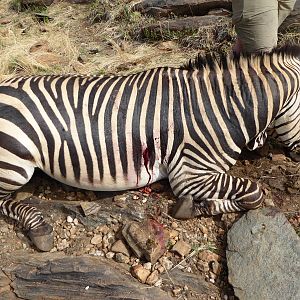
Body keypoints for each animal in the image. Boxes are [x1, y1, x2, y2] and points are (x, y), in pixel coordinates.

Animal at [0, 44, 298, 251]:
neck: (222, 108)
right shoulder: (189, 174)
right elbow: (255, 193)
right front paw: (196, 207)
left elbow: (251, 194)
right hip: (14, 163)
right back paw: (40, 229)